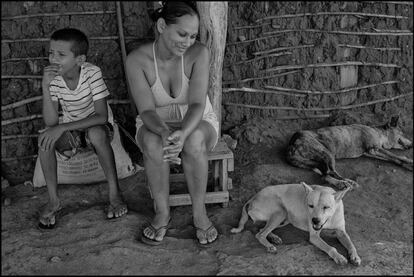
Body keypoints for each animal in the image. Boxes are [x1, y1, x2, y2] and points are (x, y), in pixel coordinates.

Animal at [231, 182, 360, 264]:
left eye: (326, 207)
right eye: (310, 206)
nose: (314, 220)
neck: (329, 218)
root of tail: (252, 198)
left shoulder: (341, 232)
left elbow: (351, 244)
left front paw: (355, 256)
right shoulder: (314, 236)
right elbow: (331, 248)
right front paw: (339, 257)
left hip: (285, 218)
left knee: (261, 229)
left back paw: (274, 237)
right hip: (281, 212)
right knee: (260, 234)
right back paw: (270, 245)